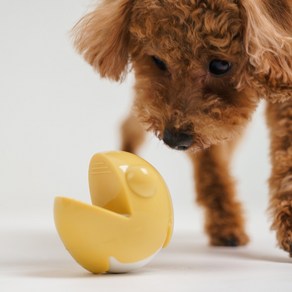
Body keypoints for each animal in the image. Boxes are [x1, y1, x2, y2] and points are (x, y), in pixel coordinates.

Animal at [72, 0, 290, 254]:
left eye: (220, 65)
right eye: (158, 61)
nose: (174, 140)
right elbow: (210, 167)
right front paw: (225, 224)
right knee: (129, 125)